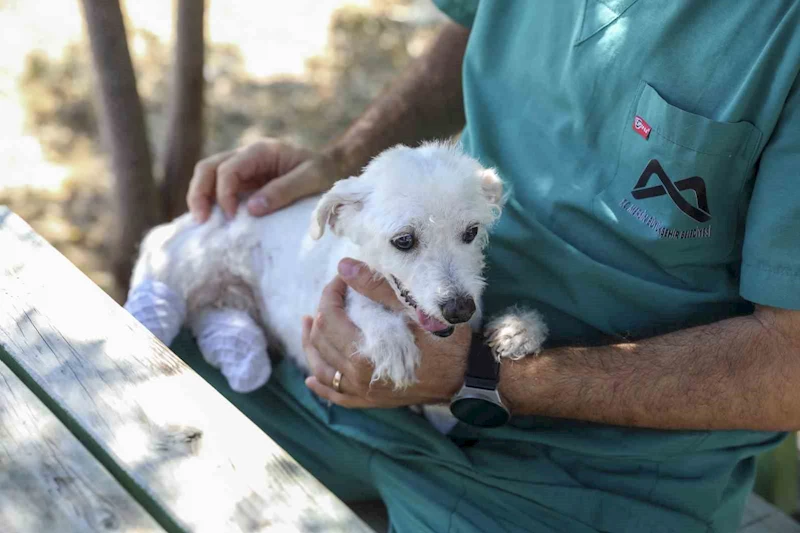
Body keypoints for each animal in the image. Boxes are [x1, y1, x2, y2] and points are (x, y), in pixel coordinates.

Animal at [126, 141, 552, 408]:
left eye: (471, 232)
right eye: (403, 240)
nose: (460, 309)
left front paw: (518, 330)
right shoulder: (340, 289)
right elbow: (362, 306)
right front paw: (390, 341)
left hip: (222, 301)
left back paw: (242, 356)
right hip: (179, 268)